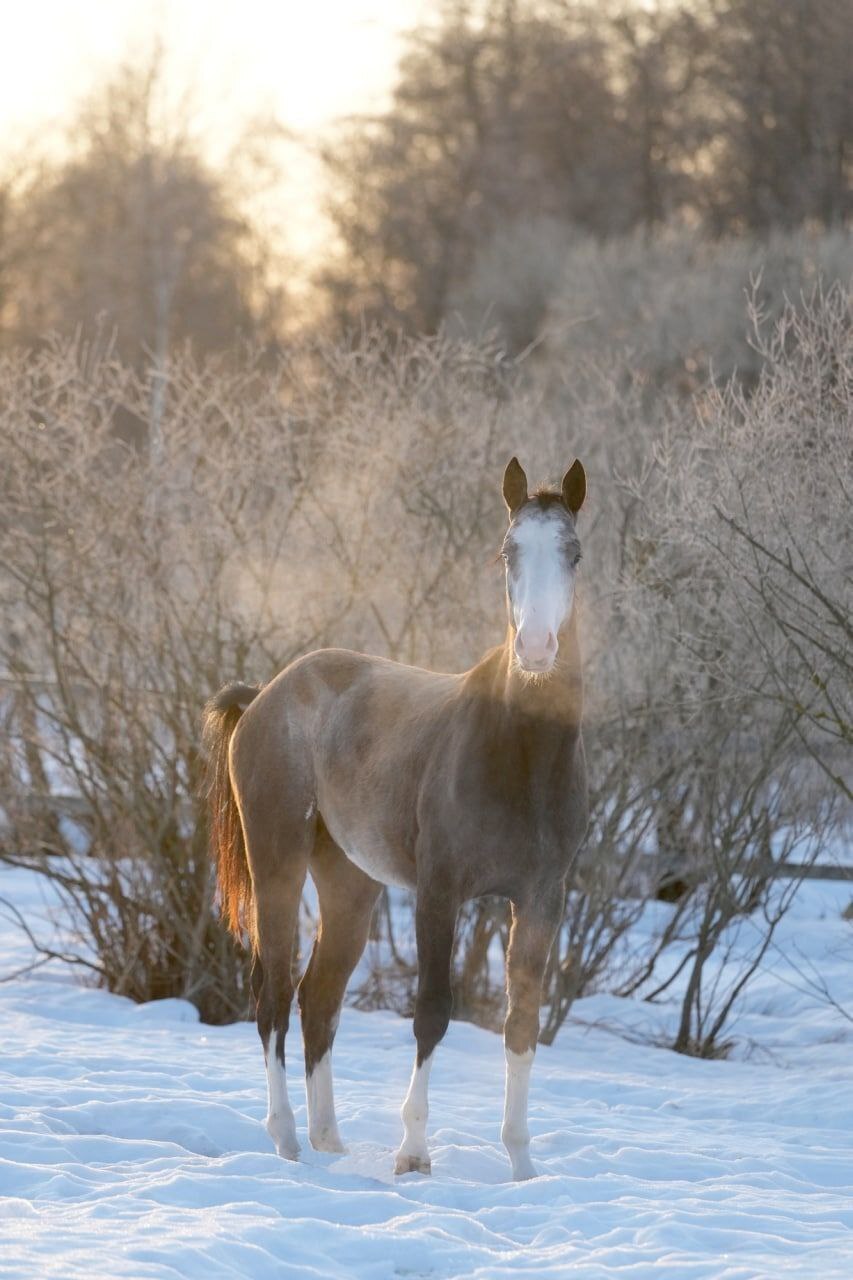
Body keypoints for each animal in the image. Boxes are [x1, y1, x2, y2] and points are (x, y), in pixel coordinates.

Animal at [203, 458, 589, 1177]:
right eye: (508, 551)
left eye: (572, 553)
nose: (536, 648)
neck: (519, 753)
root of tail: (265, 694)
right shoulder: (440, 891)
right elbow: (433, 1009)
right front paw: (412, 1154)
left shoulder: (541, 899)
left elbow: (521, 1022)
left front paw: (521, 1165)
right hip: (277, 864)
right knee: (272, 993)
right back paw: (287, 1140)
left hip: (350, 884)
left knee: (318, 996)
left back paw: (329, 1140)